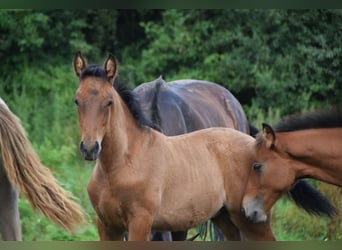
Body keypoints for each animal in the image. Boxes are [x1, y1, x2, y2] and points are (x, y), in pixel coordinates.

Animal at [73, 52, 278, 240]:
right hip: (224, 217)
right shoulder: (107, 225)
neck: (120, 166)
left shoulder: (143, 223)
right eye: (77, 101)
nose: (90, 148)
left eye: (109, 102)